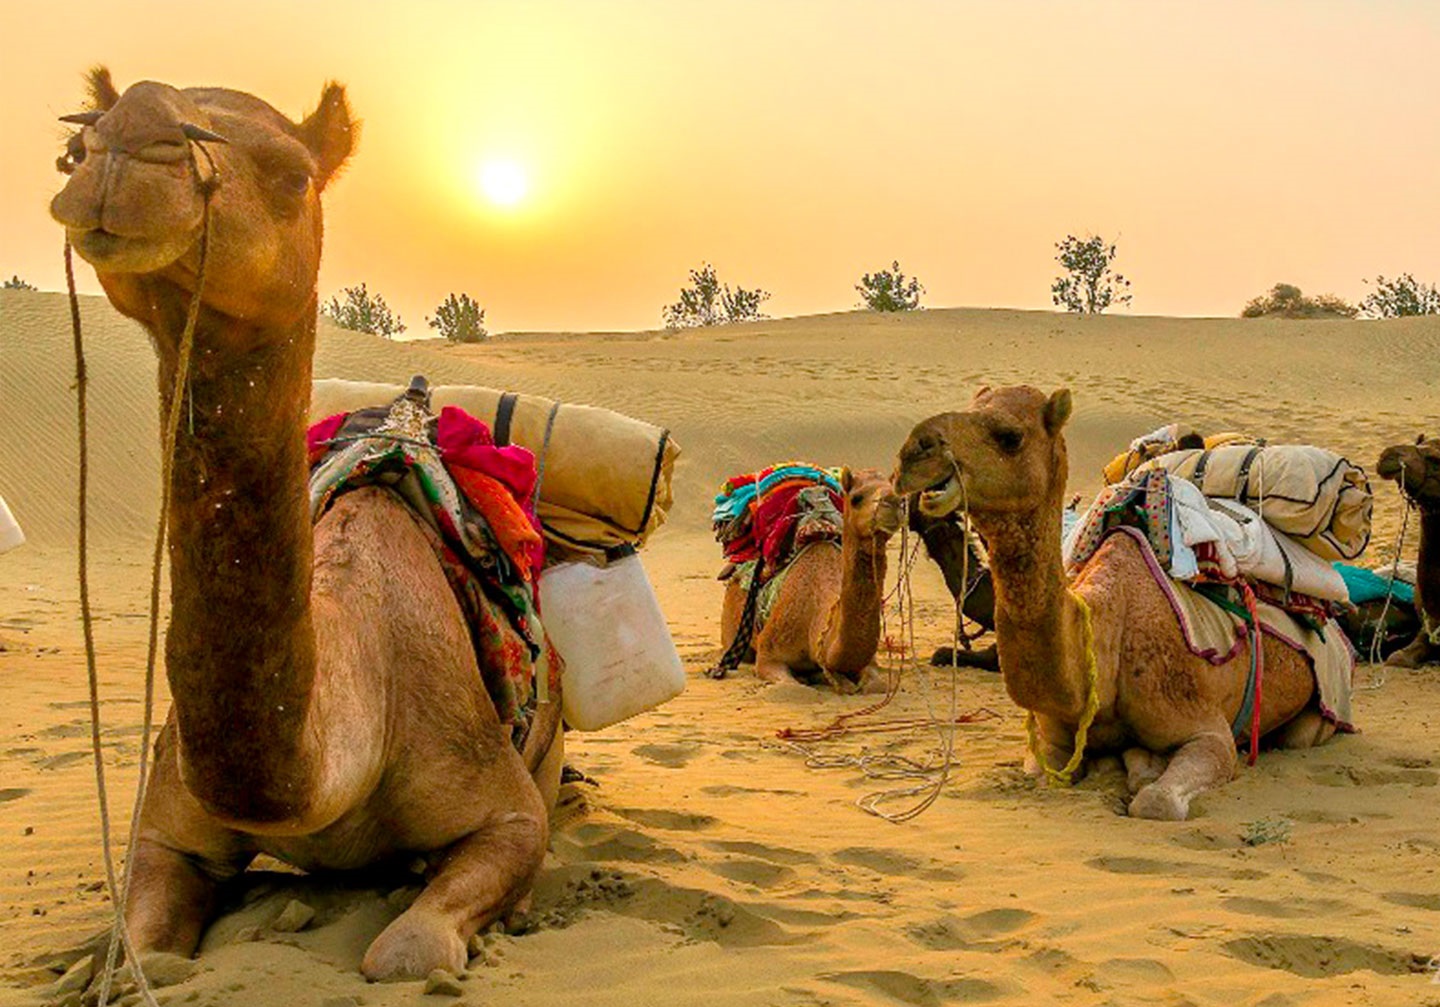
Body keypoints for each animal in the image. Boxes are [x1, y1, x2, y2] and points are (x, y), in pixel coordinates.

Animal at [49, 68, 561, 979]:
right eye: (80, 141)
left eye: (293, 176)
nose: (131, 138)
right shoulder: (162, 828)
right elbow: (140, 953)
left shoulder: (507, 811)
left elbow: (409, 950)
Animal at [720, 469, 898, 694]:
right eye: (856, 498)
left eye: (900, 493)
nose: (893, 502)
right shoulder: (768, 655)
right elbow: (791, 687)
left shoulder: (869, 662)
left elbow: (877, 684)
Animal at [887, 386, 1336, 818]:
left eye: (1010, 436)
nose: (913, 452)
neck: (1108, 643)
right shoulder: (1049, 741)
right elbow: (1043, 774)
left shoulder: (1209, 731)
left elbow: (1157, 802)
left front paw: (1140, 773)